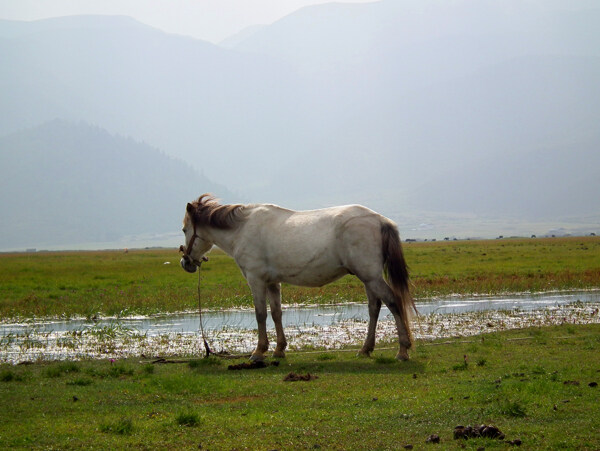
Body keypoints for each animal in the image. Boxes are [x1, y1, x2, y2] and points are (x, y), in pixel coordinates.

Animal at [178, 196, 414, 362]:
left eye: (184, 229)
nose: (185, 262)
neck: (242, 228)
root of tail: (380, 220)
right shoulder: (272, 282)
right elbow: (276, 314)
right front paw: (279, 349)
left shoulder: (256, 280)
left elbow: (260, 314)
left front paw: (259, 351)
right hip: (368, 278)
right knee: (374, 307)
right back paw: (366, 349)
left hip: (371, 277)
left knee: (393, 302)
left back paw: (402, 350)